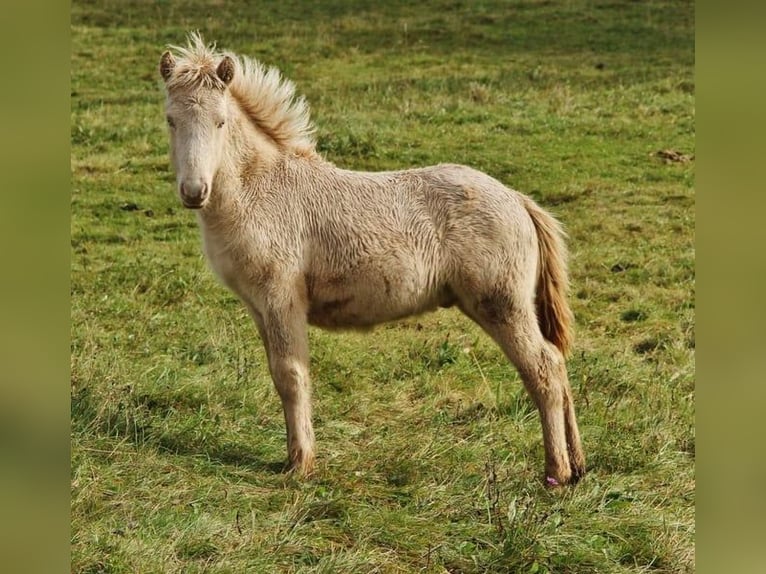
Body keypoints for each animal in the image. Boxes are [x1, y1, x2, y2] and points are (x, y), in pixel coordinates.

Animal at [159, 33, 585, 486]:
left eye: (221, 121)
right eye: (170, 120)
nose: (194, 192)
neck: (262, 189)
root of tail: (519, 200)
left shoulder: (281, 298)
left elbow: (292, 375)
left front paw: (300, 464)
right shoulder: (259, 307)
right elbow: (281, 374)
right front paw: (295, 456)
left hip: (501, 303)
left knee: (543, 370)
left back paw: (556, 472)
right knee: (558, 365)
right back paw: (578, 465)